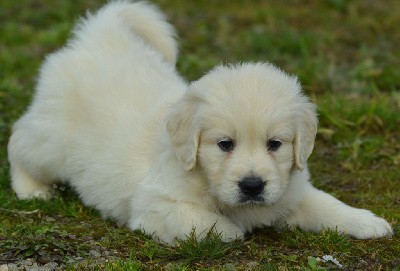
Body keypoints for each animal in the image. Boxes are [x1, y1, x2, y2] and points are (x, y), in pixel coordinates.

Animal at [7, 1, 392, 245]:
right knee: (17, 142)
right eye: (224, 144)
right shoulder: (155, 206)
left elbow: (325, 204)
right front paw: (235, 230)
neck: (207, 180)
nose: (252, 186)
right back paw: (32, 190)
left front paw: (368, 222)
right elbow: (206, 222)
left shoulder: (290, 191)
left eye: (275, 144)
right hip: (49, 144)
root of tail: (102, 38)